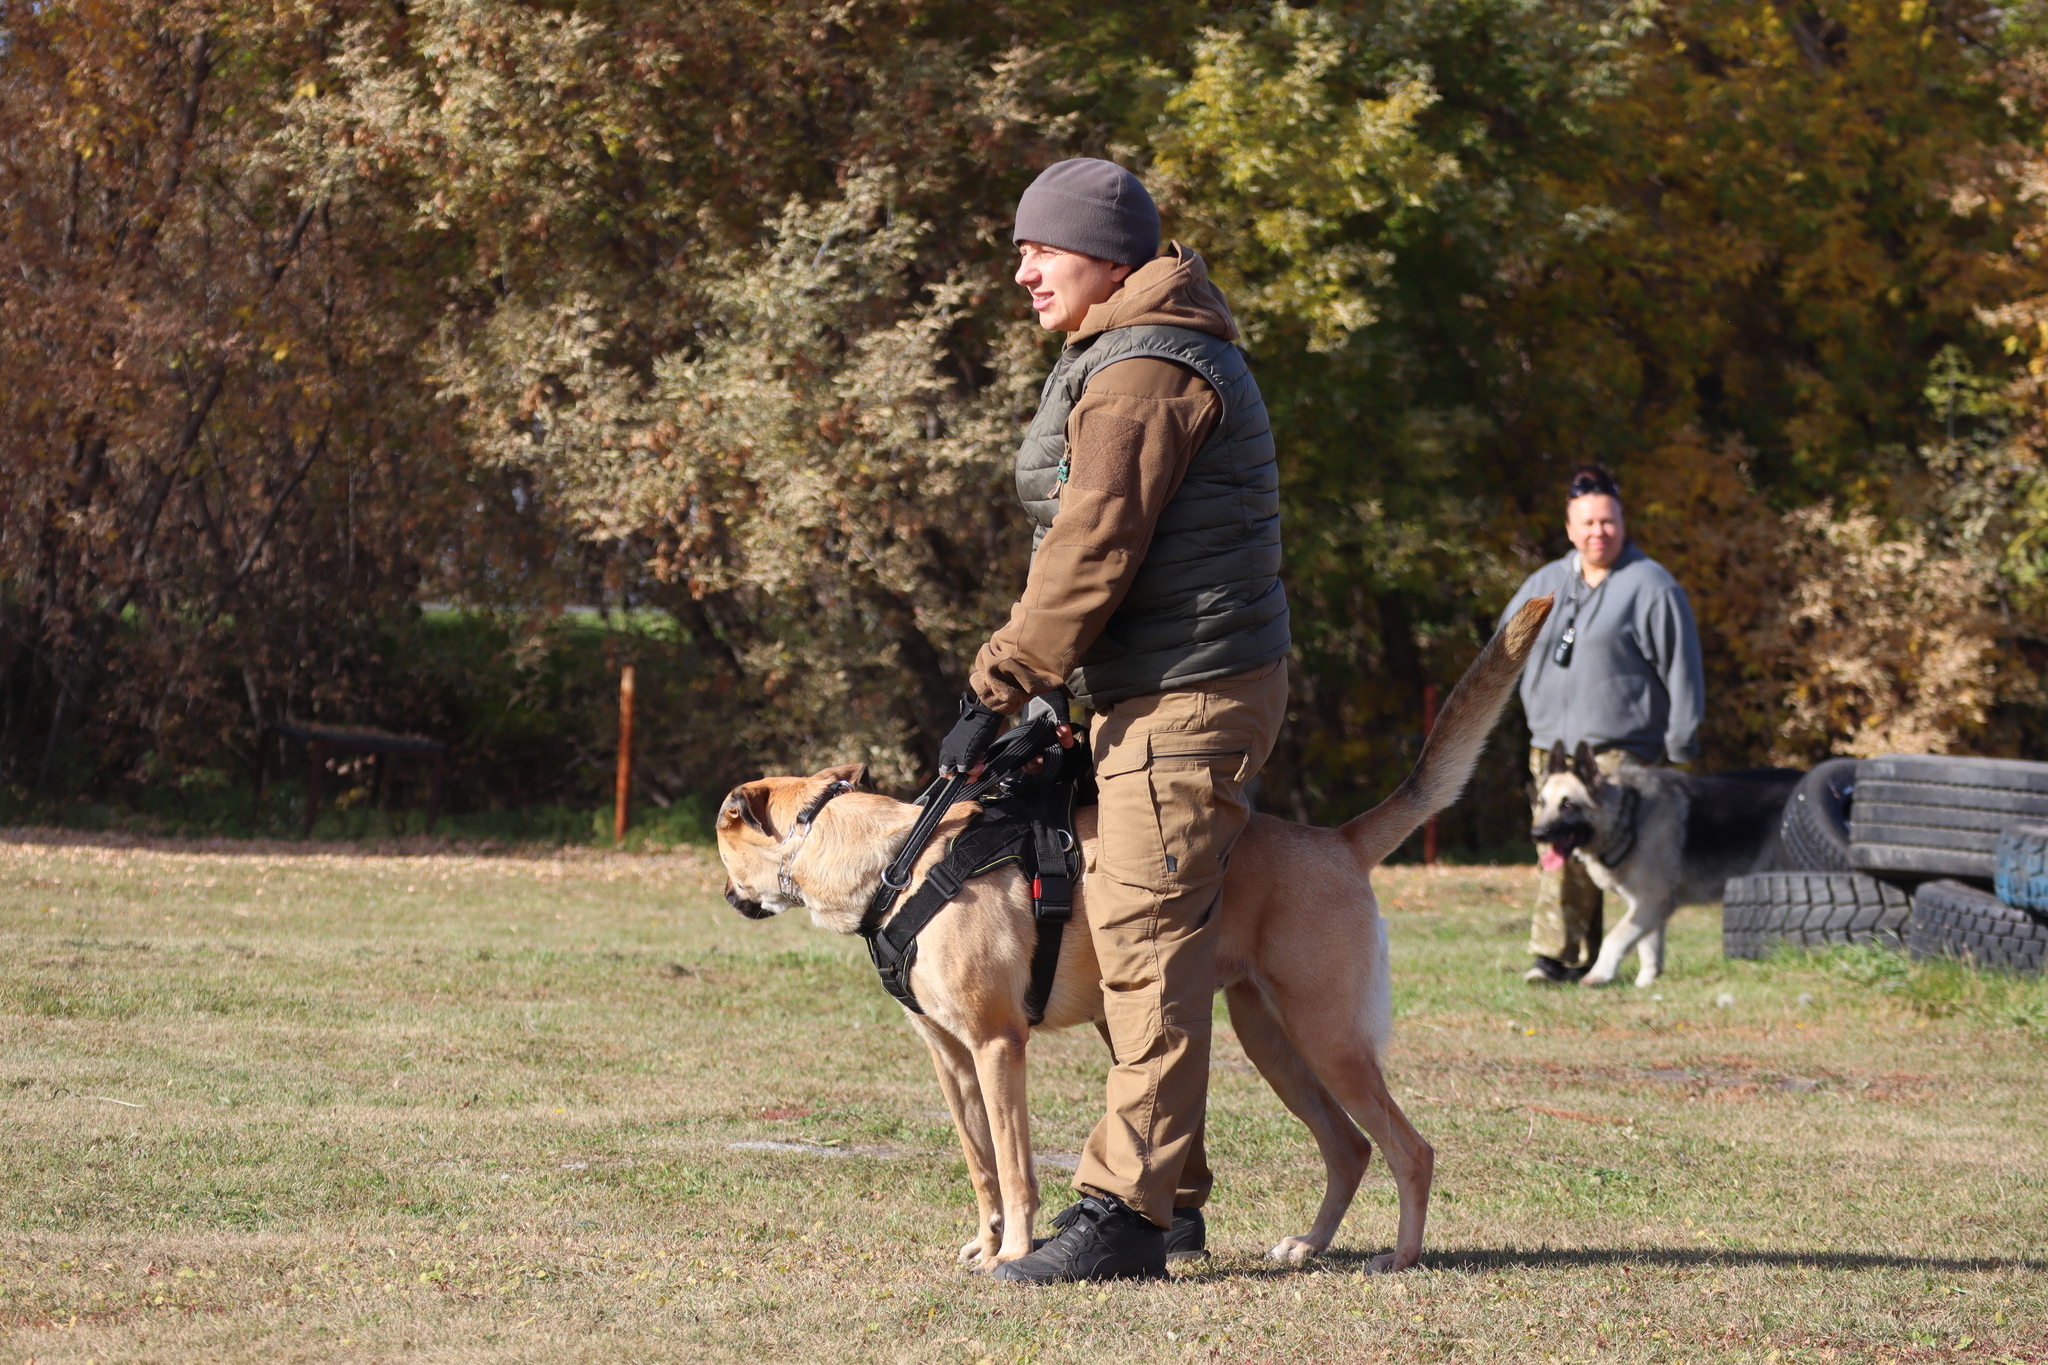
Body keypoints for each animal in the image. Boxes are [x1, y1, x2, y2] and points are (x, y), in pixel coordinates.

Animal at [712, 593, 1540, 1268]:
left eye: (723, 843)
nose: (723, 894)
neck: (900, 860)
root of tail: (1337, 839)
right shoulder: (949, 1055)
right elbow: (980, 1164)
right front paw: (983, 1241)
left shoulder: (997, 1045)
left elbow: (1014, 1166)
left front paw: (1013, 1252)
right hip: (1272, 1039)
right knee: (1350, 1146)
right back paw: (1307, 1244)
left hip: (1327, 1035)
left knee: (1410, 1148)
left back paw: (1400, 1255)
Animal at [1531, 740, 1802, 986]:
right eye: (1542, 803)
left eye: (1568, 805)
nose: (1537, 834)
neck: (1626, 817)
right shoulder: (1648, 907)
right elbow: (1648, 948)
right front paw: (1646, 982)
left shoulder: (1651, 900)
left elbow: (1616, 938)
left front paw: (1599, 974)